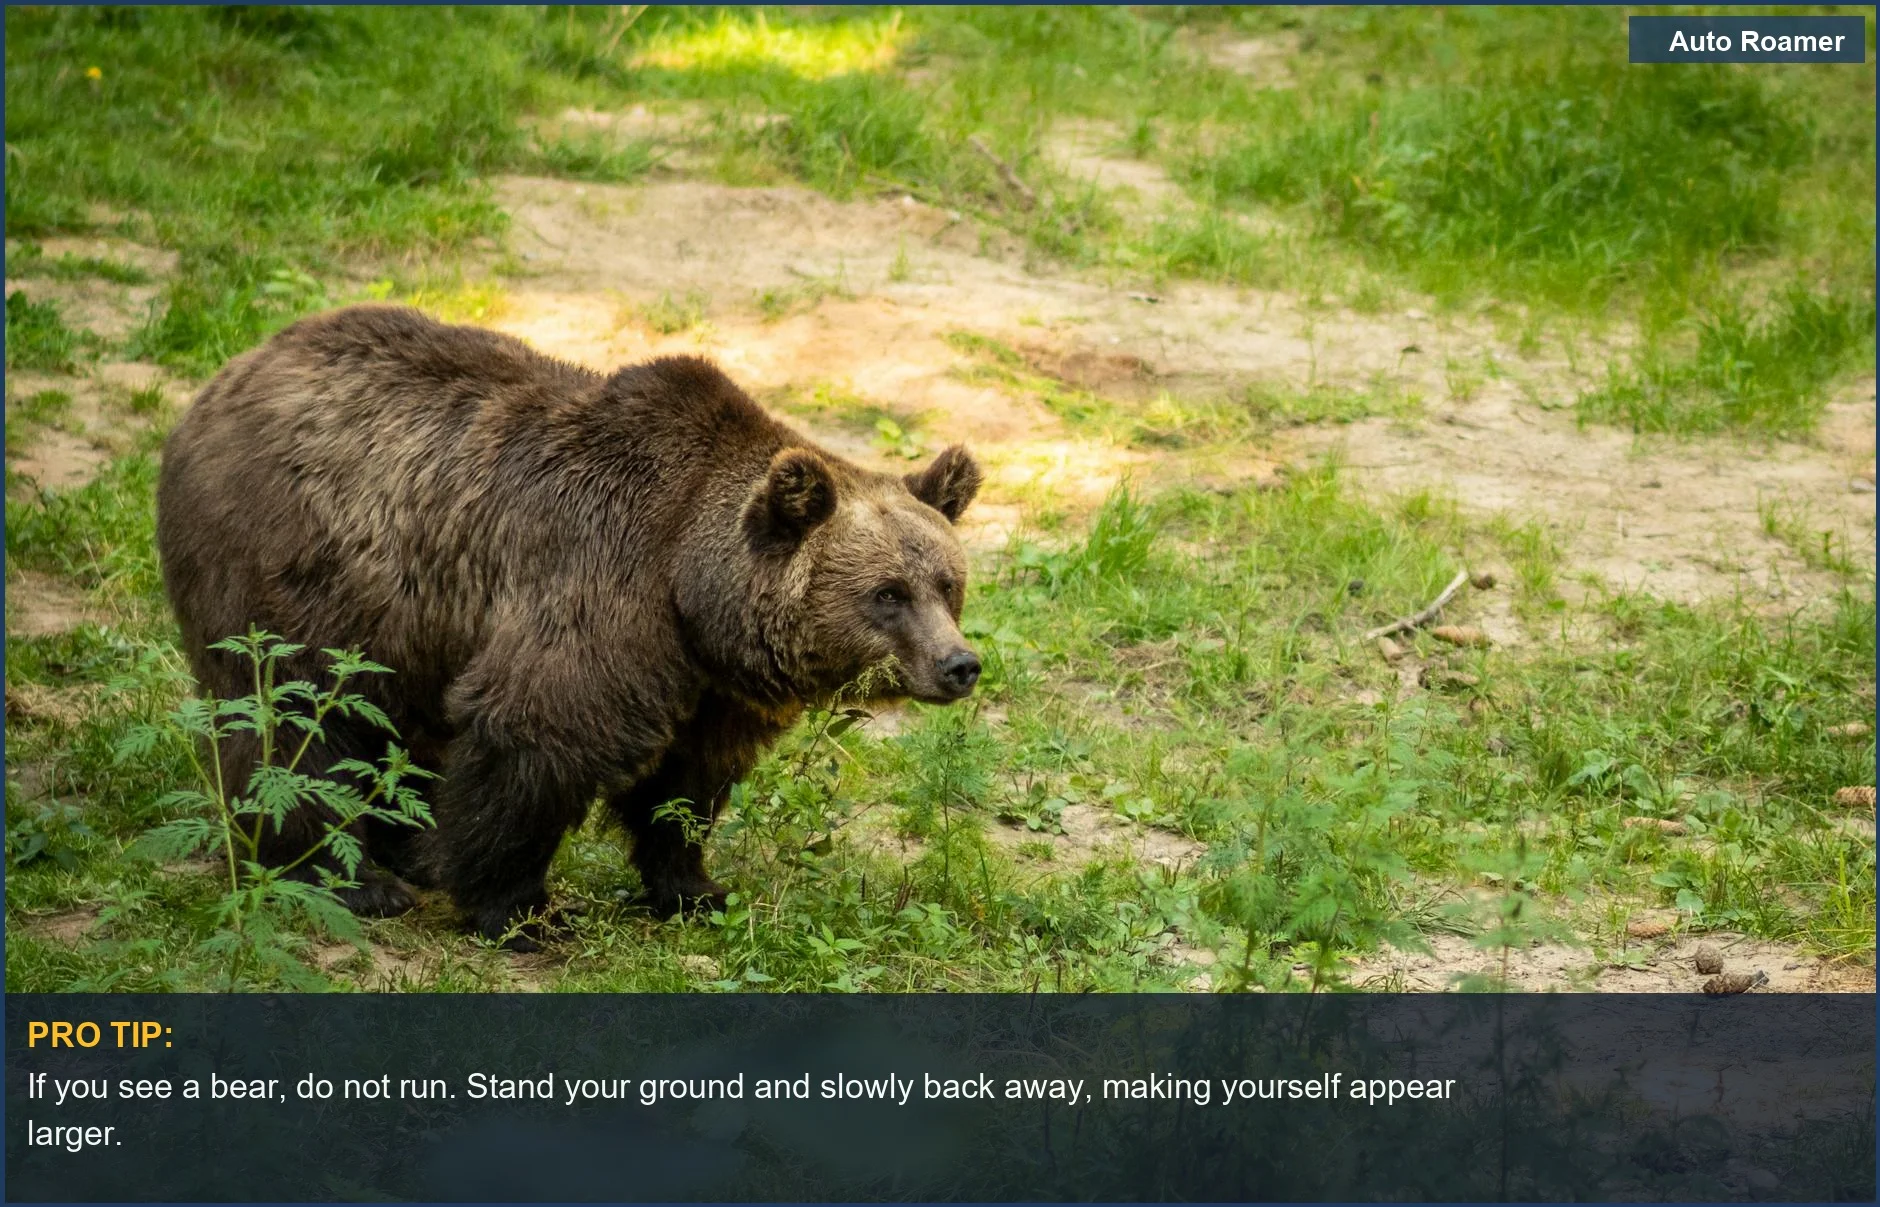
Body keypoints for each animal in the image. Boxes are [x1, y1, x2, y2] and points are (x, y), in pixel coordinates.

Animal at [155, 304, 983, 948]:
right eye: (887, 593)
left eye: (949, 585)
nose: (960, 664)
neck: (690, 586)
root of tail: (230, 373)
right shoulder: (599, 585)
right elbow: (536, 732)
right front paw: (522, 908)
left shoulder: (711, 686)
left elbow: (686, 786)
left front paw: (695, 887)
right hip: (295, 568)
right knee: (293, 721)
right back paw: (351, 878)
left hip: (403, 620)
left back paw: (409, 849)